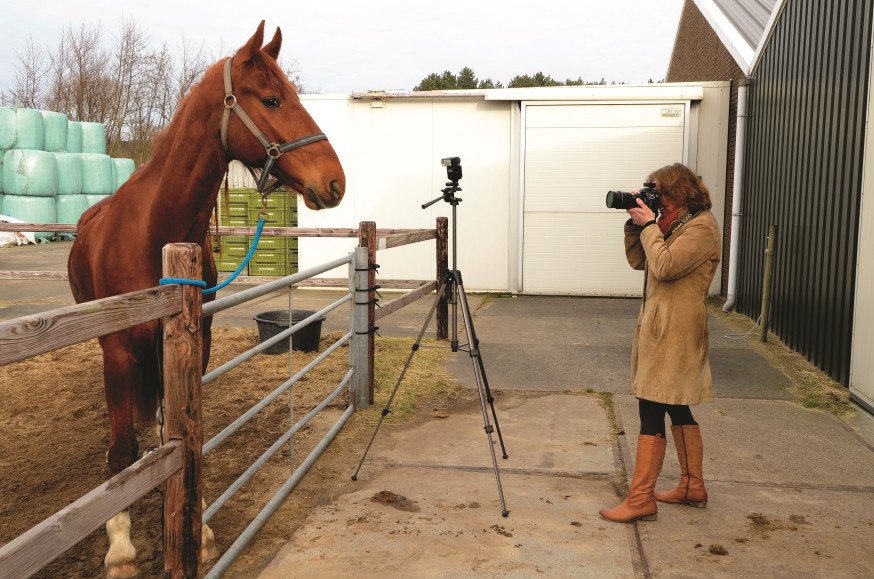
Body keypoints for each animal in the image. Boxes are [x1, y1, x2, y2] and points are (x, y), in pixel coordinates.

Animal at [67, 20, 344, 576]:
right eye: (273, 99)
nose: (335, 180)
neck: (154, 234)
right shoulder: (118, 351)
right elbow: (121, 450)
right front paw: (121, 549)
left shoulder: (197, 343)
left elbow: (184, 436)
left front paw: (197, 530)